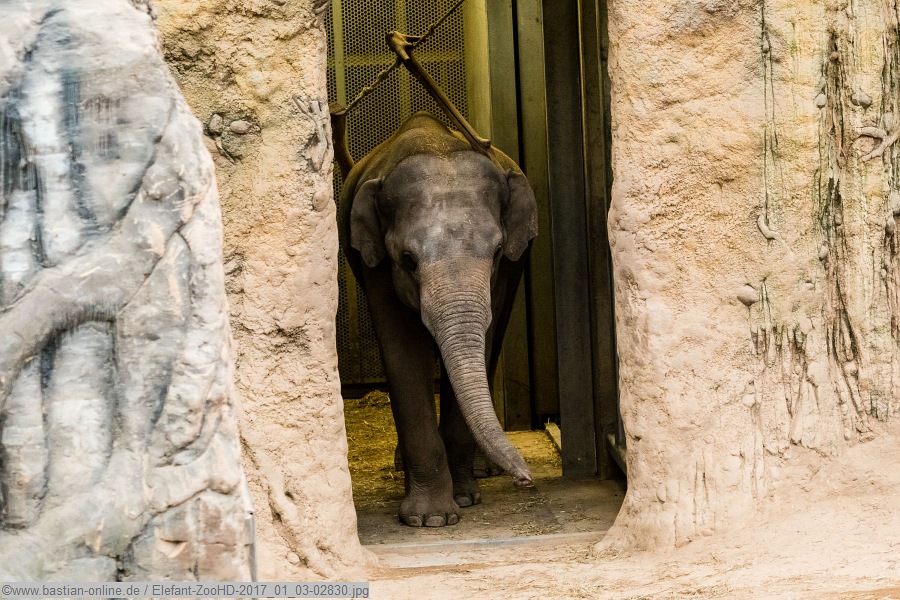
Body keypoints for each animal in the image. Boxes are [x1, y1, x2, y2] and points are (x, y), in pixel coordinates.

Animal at [338, 111, 538, 527]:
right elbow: (402, 350)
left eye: (497, 252)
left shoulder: (505, 273)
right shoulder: (374, 265)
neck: (435, 146)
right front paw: (430, 519)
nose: (525, 480)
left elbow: (485, 338)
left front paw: (464, 498)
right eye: (408, 260)